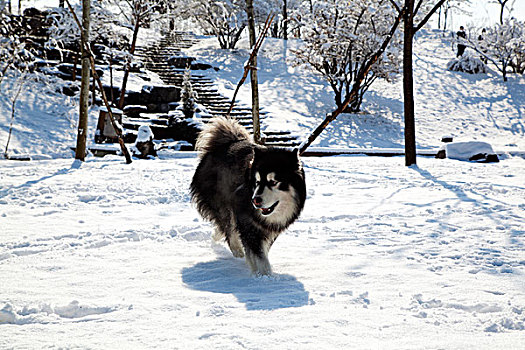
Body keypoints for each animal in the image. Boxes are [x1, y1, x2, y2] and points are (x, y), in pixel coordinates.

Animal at [191, 117, 308, 276]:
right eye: (257, 181)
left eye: (273, 182)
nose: (255, 201)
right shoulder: (248, 223)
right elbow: (259, 255)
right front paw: (264, 277)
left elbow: (262, 250)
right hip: (222, 204)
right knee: (228, 226)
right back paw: (237, 251)